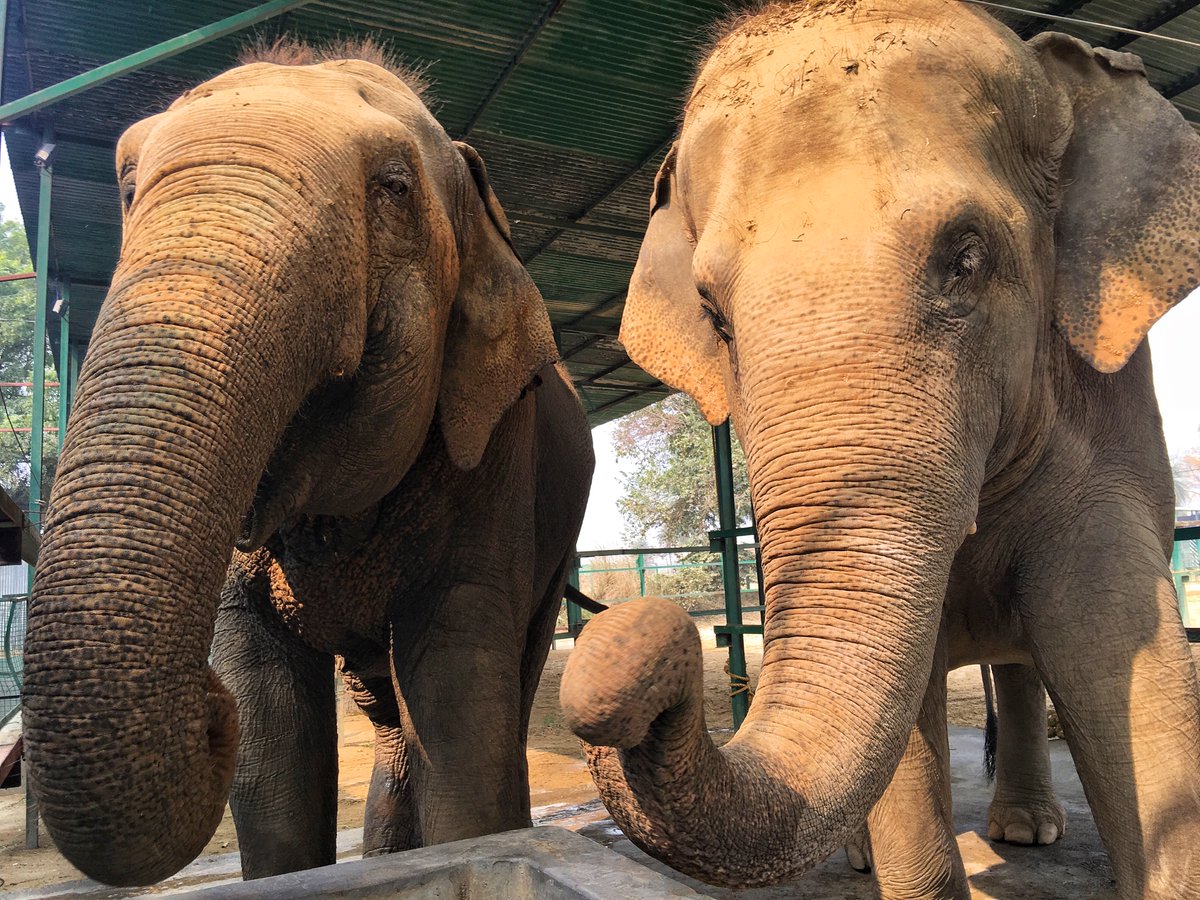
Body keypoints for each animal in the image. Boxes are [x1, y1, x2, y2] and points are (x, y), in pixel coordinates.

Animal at [21, 40, 594, 887]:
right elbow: (269, 735)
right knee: (387, 714)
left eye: (393, 187)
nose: (205, 711)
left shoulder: (495, 451)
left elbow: (458, 693)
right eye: (127, 186)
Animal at [559, 1, 1200, 897]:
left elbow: (1115, 642)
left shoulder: (1107, 410)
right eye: (713, 314)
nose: (629, 634)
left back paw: (1026, 830)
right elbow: (913, 709)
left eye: (967, 257)